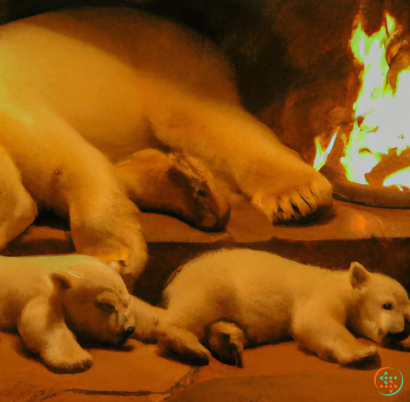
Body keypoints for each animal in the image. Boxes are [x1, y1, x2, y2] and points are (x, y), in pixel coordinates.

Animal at [0, 6, 334, 288]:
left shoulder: (15, 105)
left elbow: (70, 162)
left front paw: (112, 259)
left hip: (165, 62)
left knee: (201, 120)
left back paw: (295, 194)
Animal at [0, 254, 136, 374]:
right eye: (108, 305)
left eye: (127, 302)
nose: (129, 329)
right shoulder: (40, 296)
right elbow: (39, 321)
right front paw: (78, 361)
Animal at [131, 248, 410, 368]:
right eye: (387, 305)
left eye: (408, 314)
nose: (403, 330)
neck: (344, 282)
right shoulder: (327, 293)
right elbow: (313, 319)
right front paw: (362, 353)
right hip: (211, 280)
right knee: (190, 310)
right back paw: (192, 349)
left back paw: (229, 343)